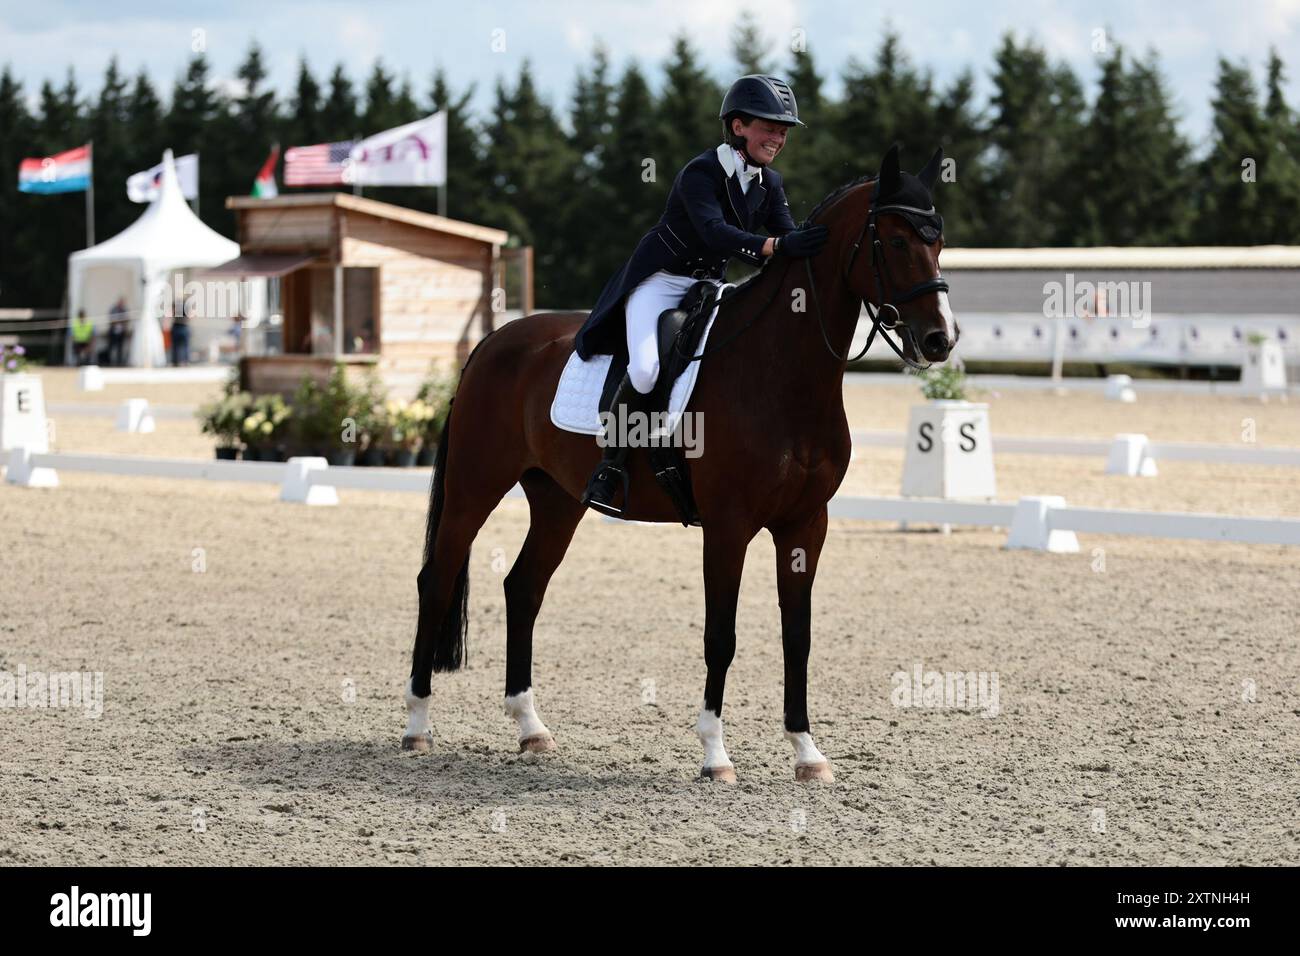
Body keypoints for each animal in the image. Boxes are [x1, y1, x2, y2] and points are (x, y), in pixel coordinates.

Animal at [400, 143, 961, 785]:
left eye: (938, 240)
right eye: (894, 240)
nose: (940, 339)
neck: (781, 372)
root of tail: (492, 343)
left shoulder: (805, 524)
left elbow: (798, 635)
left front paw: (807, 752)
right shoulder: (728, 525)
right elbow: (722, 636)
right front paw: (715, 755)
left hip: (558, 499)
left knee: (524, 587)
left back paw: (531, 728)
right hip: (475, 486)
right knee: (437, 581)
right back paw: (417, 726)